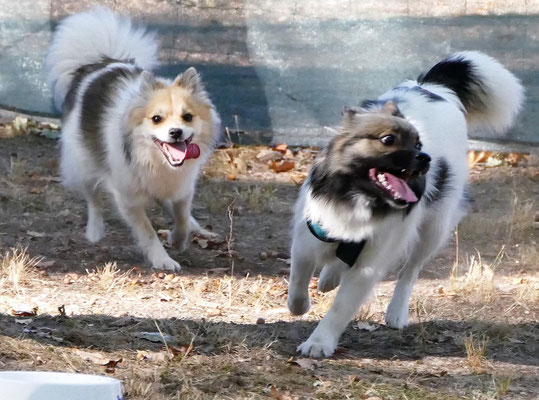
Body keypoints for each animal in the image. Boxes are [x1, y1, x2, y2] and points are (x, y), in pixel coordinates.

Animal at [288, 50, 524, 356]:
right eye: (388, 140)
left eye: (419, 144)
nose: (425, 159)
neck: (360, 197)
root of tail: (432, 87)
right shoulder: (308, 238)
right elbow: (297, 286)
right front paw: (302, 304)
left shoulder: (370, 263)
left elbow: (340, 308)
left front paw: (318, 343)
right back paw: (330, 277)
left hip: (434, 229)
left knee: (410, 271)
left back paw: (396, 311)